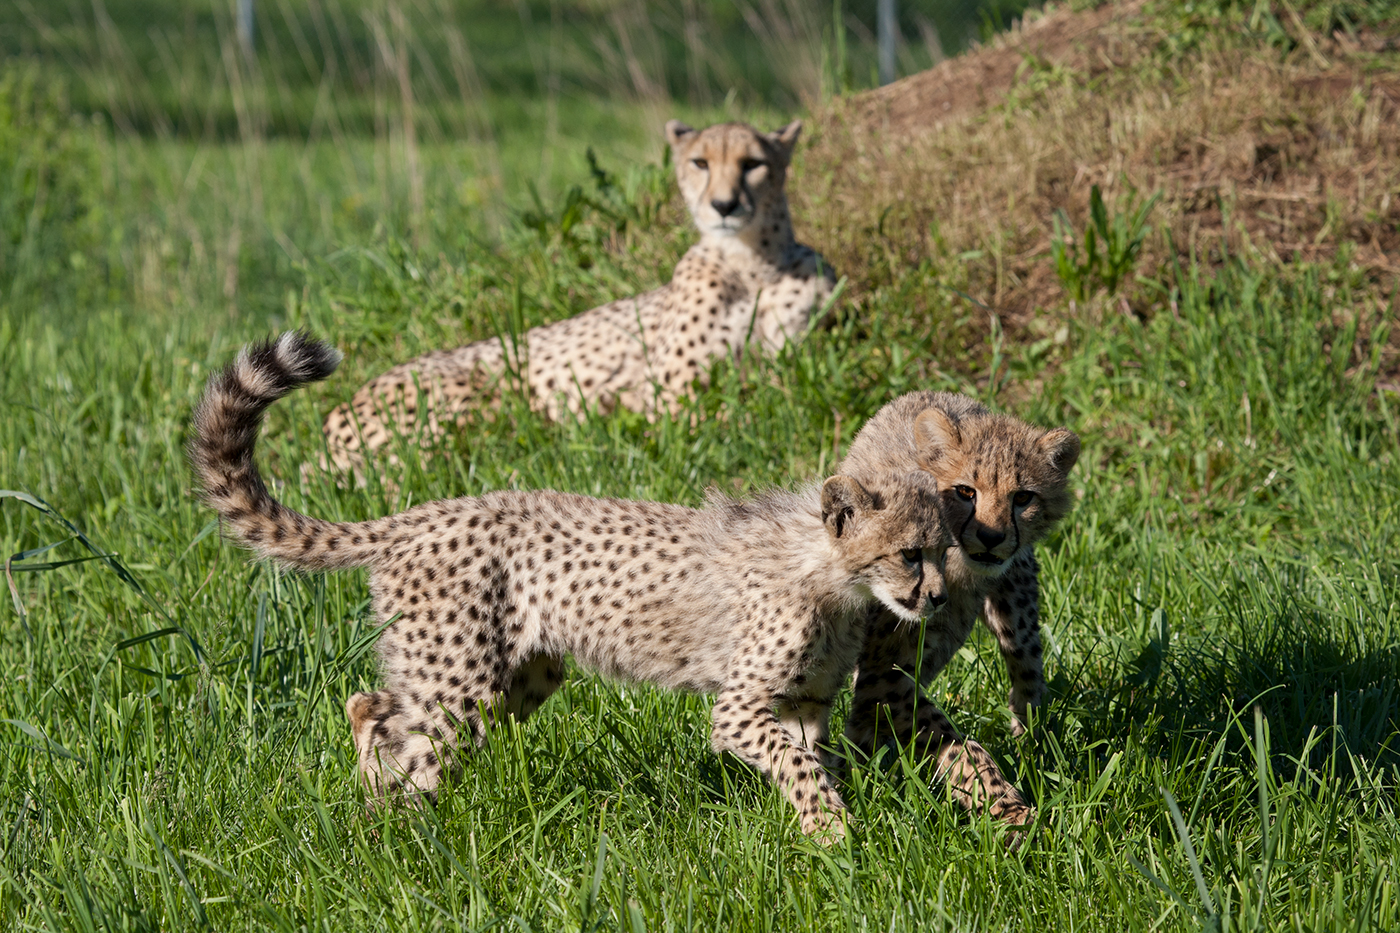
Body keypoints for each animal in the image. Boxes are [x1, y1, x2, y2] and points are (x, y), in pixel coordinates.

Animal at [191, 332, 946, 834]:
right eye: (910, 554)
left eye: (947, 548)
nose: (936, 597)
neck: (834, 577)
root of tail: (419, 514)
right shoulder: (740, 706)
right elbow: (799, 769)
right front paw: (835, 834)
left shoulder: (805, 702)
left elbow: (814, 759)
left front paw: (835, 825)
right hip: (461, 681)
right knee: (400, 729)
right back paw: (407, 831)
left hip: (516, 676)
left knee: (373, 705)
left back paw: (386, 807)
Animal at [322, 118, 834, 473]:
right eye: (700, 163)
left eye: (753, 164)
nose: (724, 205)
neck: (752, 266)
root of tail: (332, 418)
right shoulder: (671, 402)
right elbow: (732, 419)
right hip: (471, 397)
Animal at [834, 389, 1075, 823]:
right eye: (965, 492)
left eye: (1023, 497)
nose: (992, 537)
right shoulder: (885, 672)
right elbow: (958, 745)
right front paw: (1009, 810)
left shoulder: (889, 675)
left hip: (1016, 606)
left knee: (1027, 668)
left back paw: (1030, 737)